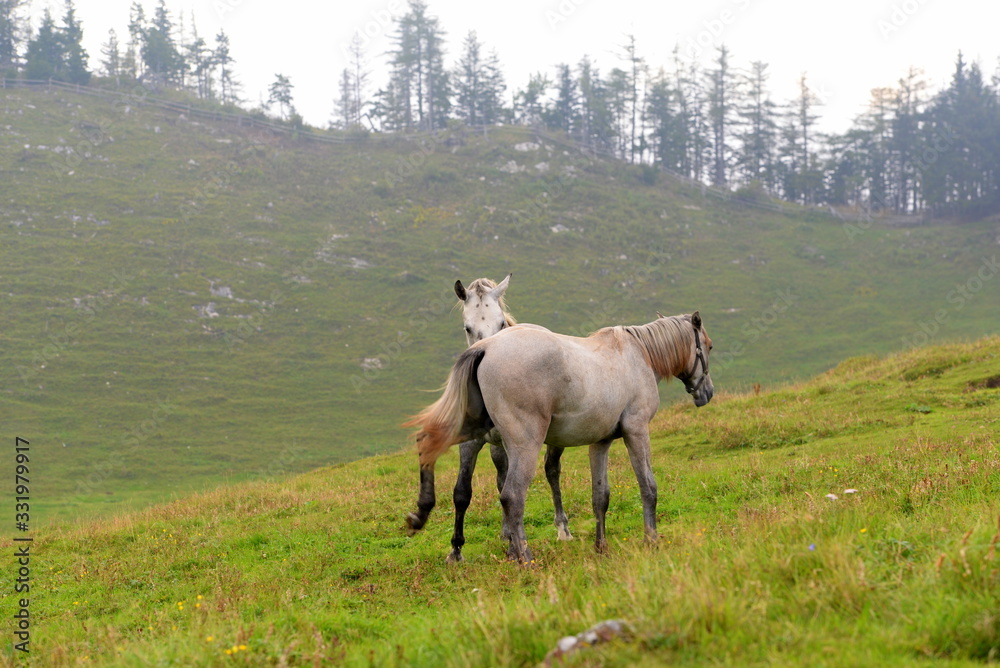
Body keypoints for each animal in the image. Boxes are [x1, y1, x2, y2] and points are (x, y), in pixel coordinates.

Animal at [404, 314, 712, 564]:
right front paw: (651, 540)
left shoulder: (600, 443)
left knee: (435, 455)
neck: (637, 354)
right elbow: (648, 487)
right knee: (512, 496)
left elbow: (600, 496)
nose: (706, 392)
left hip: (471, 434)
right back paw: (525, 557)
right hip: (523, 446)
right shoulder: (636, 432)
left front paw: (601, 547)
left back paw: (433, 525)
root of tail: (485, 347)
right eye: (708, 346)